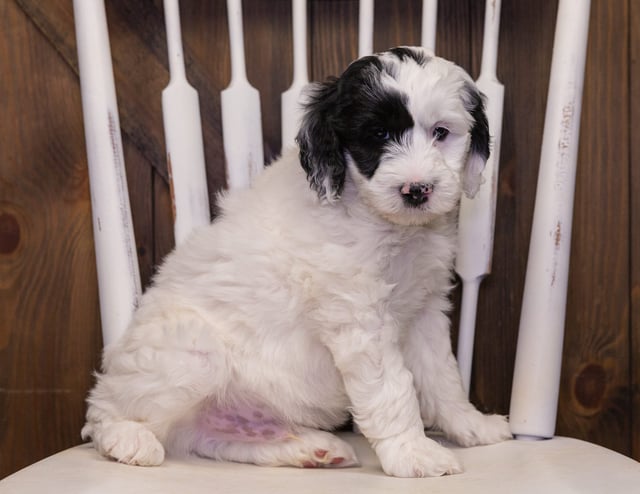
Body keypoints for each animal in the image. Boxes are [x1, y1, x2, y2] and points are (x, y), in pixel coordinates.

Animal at [82, 46, 510, 478]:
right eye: (378, 134)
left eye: (441, 132)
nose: (417, 190)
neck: (385, 223)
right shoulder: (359, 317)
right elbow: (392, 387)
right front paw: (412, 452)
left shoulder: (425, 308)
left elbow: (443, 376)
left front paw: (472, 426)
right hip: (190, 350)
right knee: (106, 408)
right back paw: (127, 438)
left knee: (209, 438)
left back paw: (310, 449)